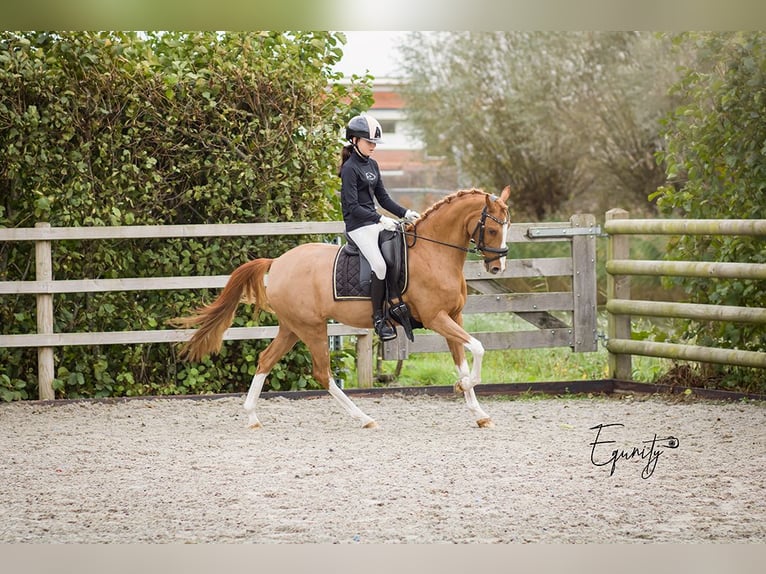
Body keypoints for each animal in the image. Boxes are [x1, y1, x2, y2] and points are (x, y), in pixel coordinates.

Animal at [170, 186, 511, 429]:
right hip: (311, 328)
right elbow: (479, 348)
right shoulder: (436, 318)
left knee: (266, 359)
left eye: (507, 226)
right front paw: (462, 386)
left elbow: (464, 359)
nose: (497, 268)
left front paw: (477, 411)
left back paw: (252, 417)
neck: (433, 253)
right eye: (493, 229)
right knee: (322, 373)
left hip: (291, 328)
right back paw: (364, 418)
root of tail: (278, 262)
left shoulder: (454, 316)